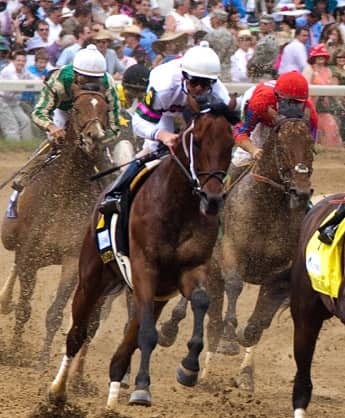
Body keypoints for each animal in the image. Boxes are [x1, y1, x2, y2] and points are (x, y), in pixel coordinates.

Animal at [0, 83, 123, 368]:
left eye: (105, 110)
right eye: (76, 108)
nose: (93, 137)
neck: (63, 195)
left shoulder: (70, 258)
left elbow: (55, 313)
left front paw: (43, 360)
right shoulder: (29, 255)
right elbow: (24, 308)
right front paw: (14, 352)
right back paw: (4, 301)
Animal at [47, 103, 234, 410]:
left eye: (230, 144)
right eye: (197, 142)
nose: (213, 199)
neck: (178, 207)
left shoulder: (188, 271)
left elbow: (200, 301)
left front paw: (188, 367)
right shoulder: (145, 269)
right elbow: (146, 334)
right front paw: (142, 388)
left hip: (152, 295)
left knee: (126, 344)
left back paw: (112, 397)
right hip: (92, 278)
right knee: (77, 334)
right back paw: (57, 391)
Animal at [157, 112, 314, 392]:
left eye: (311, 146)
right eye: (282, 147)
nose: (301, 192)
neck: (268, 209)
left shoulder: (281, 272)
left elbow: (260, 322)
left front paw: (246, 338)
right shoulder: (230, 251)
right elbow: (234, 285)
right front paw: (230, 338)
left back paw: (236, 374)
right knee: (207, 313)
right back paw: (177, 339)